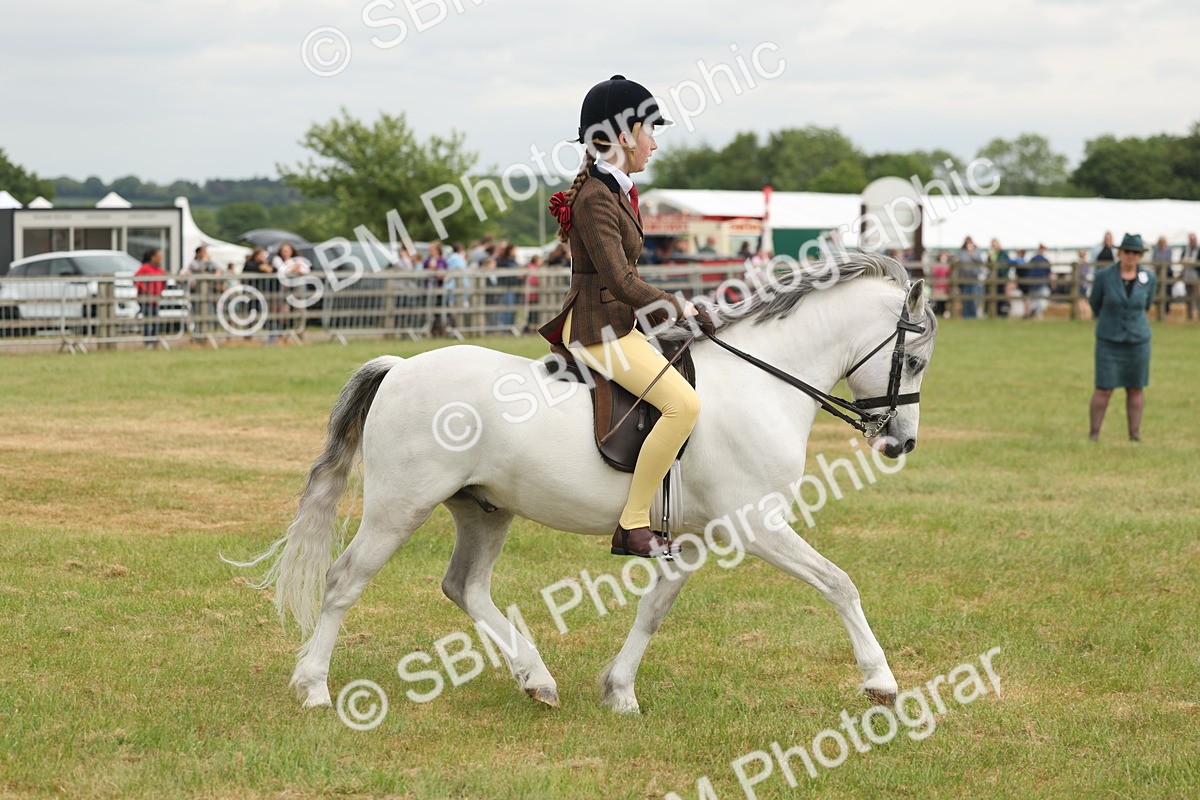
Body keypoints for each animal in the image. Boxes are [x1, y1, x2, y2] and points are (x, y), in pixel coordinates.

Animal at [230, 251, 939, 714]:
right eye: (916, 358)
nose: (900, 443)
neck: (761, 382)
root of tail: (401, 366)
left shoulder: (694, 536)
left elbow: (657, 605)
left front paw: (618, 690)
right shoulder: (757, 525)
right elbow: (839, 583)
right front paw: (880, 682)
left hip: (484, 509)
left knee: (465, 586)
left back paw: (535, 677)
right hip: (399, 508)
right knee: (345, 581)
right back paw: (315, 687)